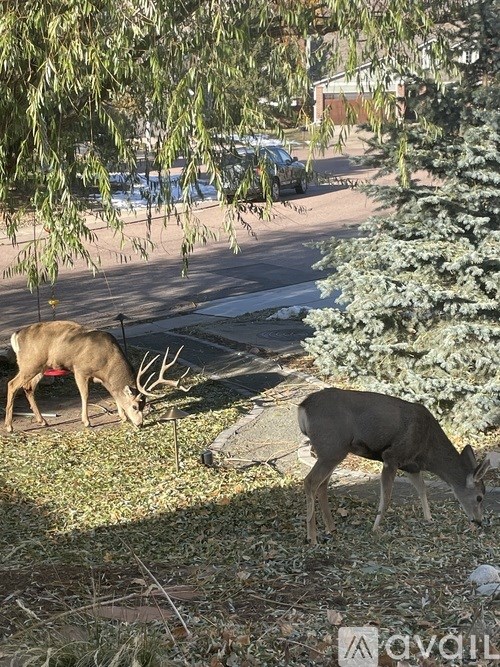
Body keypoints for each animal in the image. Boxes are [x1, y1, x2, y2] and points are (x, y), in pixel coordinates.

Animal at [4, 320, 189, 432]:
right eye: (135, 406)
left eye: (145, 406)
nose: (140, 424)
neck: (108, 361)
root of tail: (16, 335)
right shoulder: (80, 369)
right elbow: (85, 395)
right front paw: (87, 422)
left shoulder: (104, 380)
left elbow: (114, 394)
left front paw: (122, 417)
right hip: (30, 363)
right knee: (12, 384)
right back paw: (9, 426)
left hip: (41, 367)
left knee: (28, 387)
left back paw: (42, 421)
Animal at [298, 387, 495, 545]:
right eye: (479, 497)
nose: (478, 522)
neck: (428, 451)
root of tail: (302, 407)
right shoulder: (392, 456)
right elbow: (386, 498)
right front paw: (375, 529)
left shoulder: (410, 465)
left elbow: (422, 489)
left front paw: (429, 519)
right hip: (332, 447)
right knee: (310, 482)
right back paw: (311, 537)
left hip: (333, 451)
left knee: (322, 484)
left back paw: (331, 528)